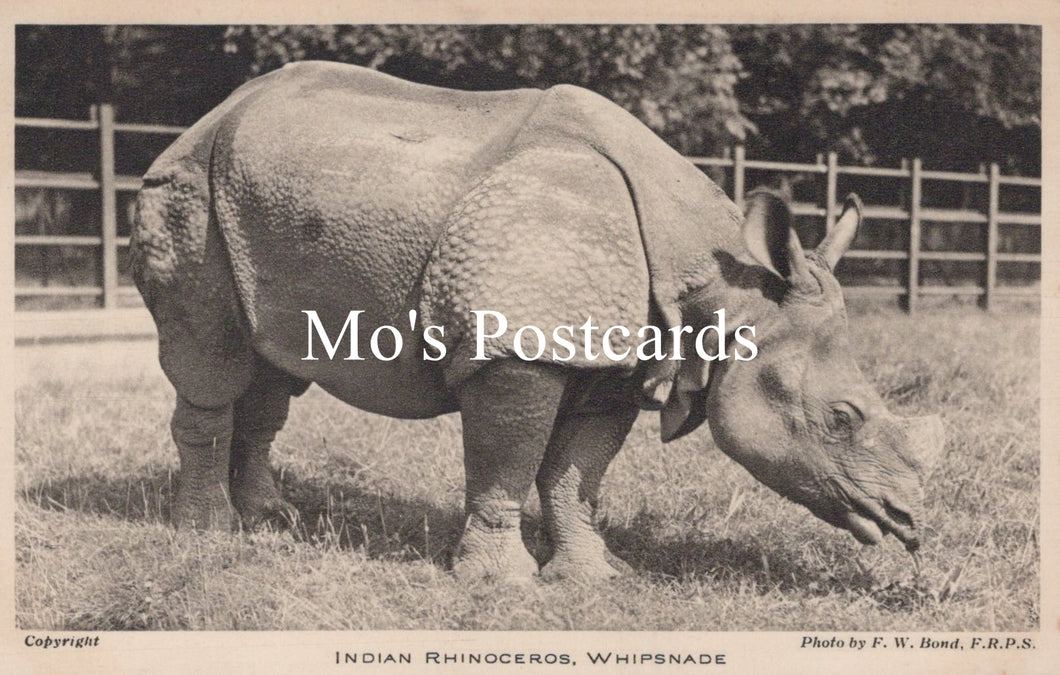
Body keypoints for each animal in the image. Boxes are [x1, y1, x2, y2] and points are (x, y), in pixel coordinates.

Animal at [130, 61, 943, 581]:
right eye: (841, 417)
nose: (908, 520)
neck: (721, 288)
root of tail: (206, 117)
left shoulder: (619, 355)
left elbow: (574, 472)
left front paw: (594, 577)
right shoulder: (519, 345)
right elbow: (508, 458)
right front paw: (500, 584)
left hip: (256, 195)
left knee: (273, 369)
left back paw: (274, 521)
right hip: (188, 187)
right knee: (214, 359)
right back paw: (209, 533)